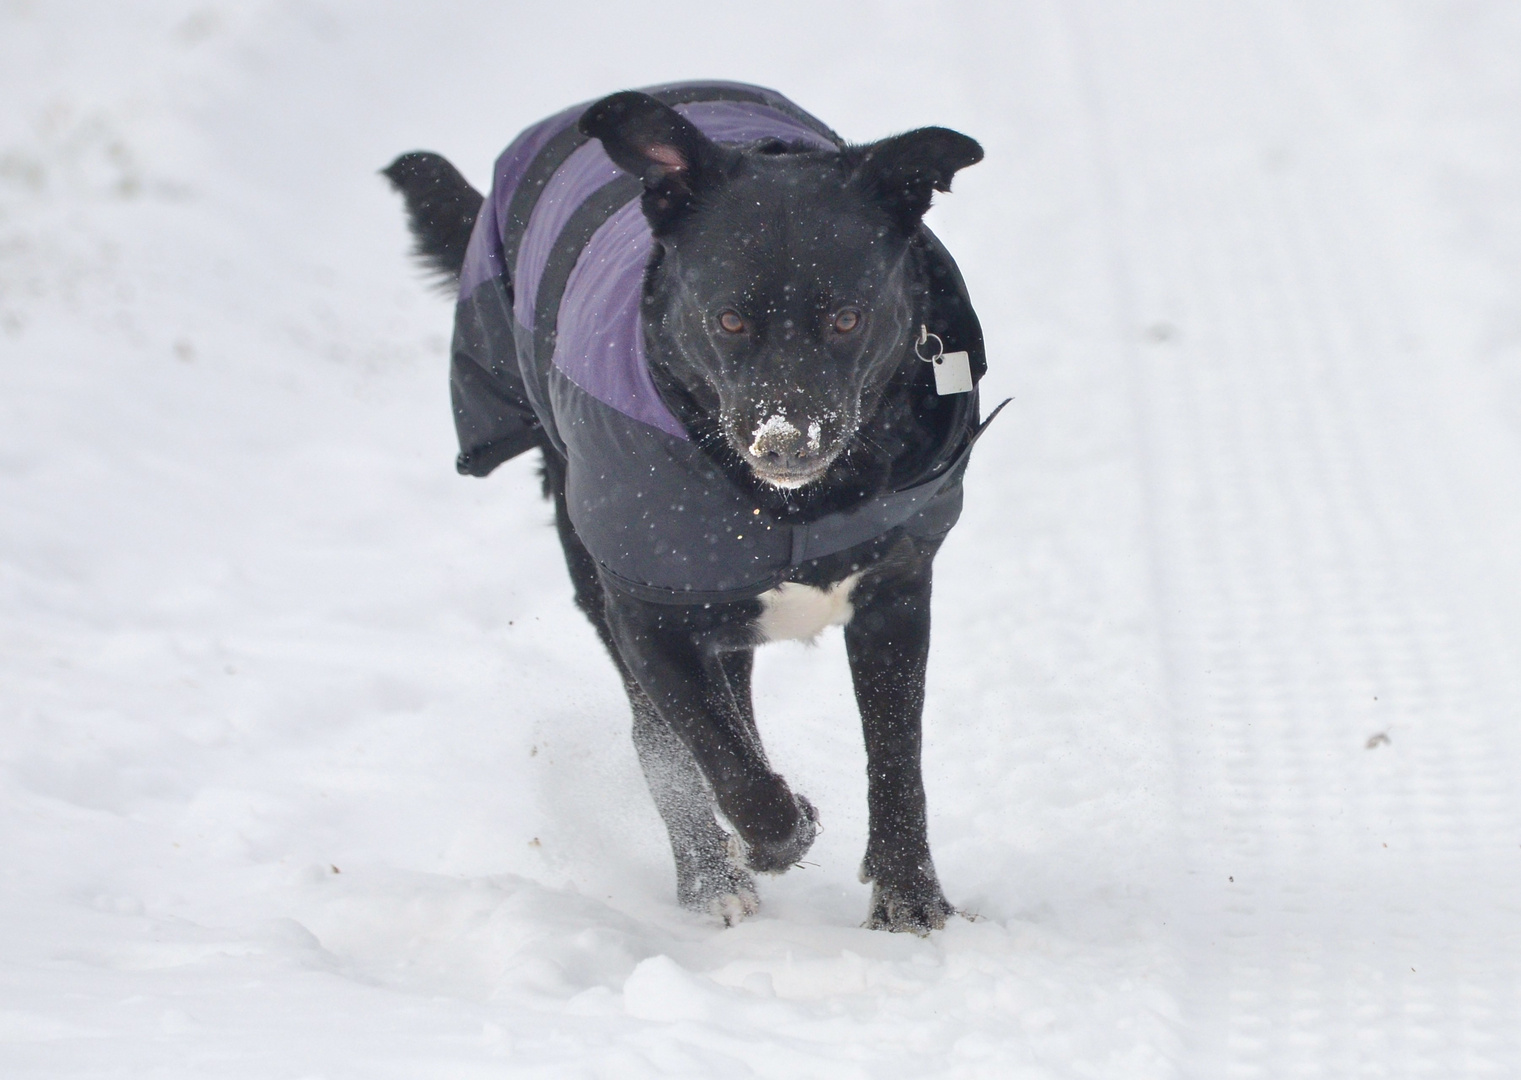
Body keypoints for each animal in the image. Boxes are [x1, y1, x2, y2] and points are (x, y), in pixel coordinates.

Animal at [386, 82, 991, 930]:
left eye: (847, 318)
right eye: (728, 319)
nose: (784, 442)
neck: (796, 510)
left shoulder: (896, 594)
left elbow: (896, 758)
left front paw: (908, 900)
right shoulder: (648, 616)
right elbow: (718, 760)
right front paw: (783, 831)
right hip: (603, 574)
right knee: (662, 740)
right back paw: (709, 876)